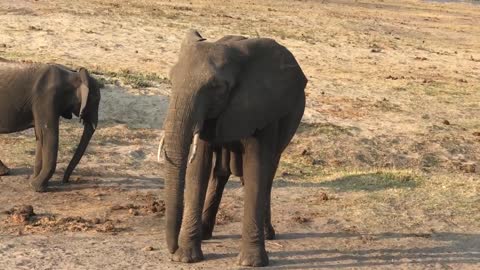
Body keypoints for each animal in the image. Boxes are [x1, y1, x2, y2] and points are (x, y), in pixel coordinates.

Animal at [0, 59, 101, 192]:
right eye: (95, 100)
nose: (65, 181)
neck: (73, 75)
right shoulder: (46, 98)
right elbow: (48, 134)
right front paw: (37, 187)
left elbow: (40, 135)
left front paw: (33, 182)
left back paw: (5, 172)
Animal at [158, 30, 308, 266]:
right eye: (171, 79)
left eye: (216, 87)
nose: (172, 249)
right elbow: (198, 170)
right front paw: (185, 257)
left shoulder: (262, 108)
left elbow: (256, 167)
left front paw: (251, 263)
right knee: (221, 172)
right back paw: (206, 233)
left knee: (268, 172)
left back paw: (268, 233)